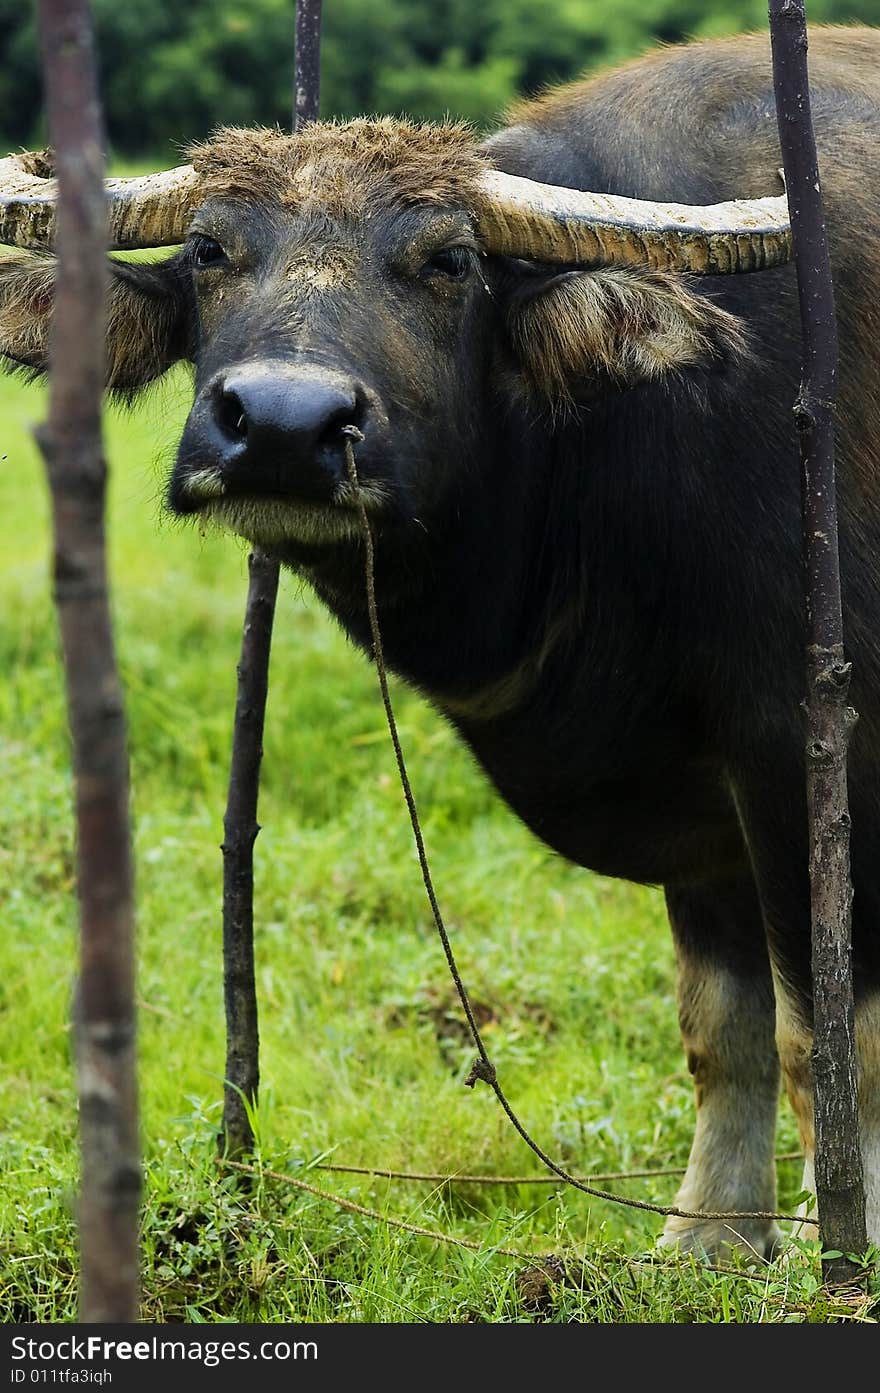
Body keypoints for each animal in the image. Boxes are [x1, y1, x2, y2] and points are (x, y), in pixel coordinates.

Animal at [1, 24, 880, 1264]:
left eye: (449, 261)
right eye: (212, 249)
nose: (284, 425)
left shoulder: (800, 745)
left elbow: (825, 1045)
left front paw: (832, 1256)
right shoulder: (698, 781)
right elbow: (724, 1029)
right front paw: (704, 1242)